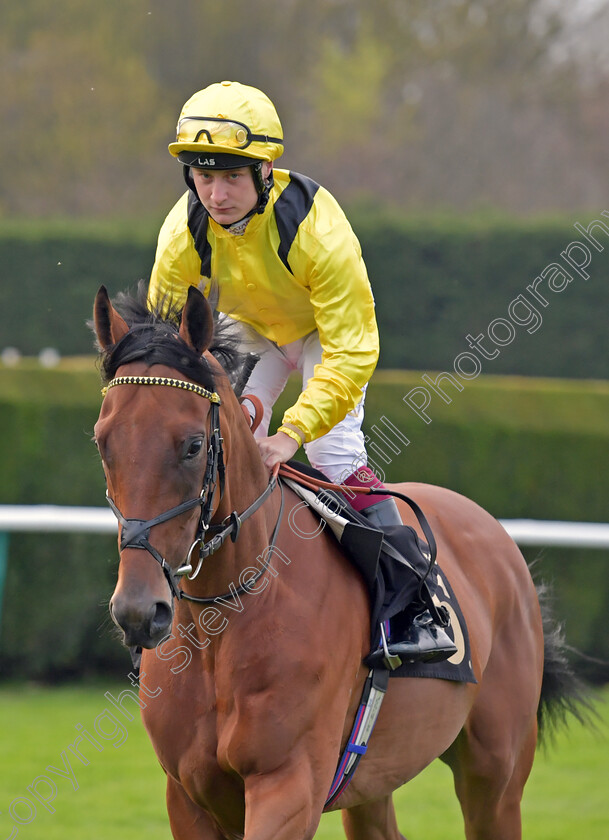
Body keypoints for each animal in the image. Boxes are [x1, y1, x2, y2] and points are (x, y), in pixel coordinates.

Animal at [92, 284, 588, 840]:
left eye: (193, 446)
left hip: (495, 772)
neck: (224, 621)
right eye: (102, 441)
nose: (138, 611)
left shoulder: (290, 783)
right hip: (373, 778)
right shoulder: (188, 795)